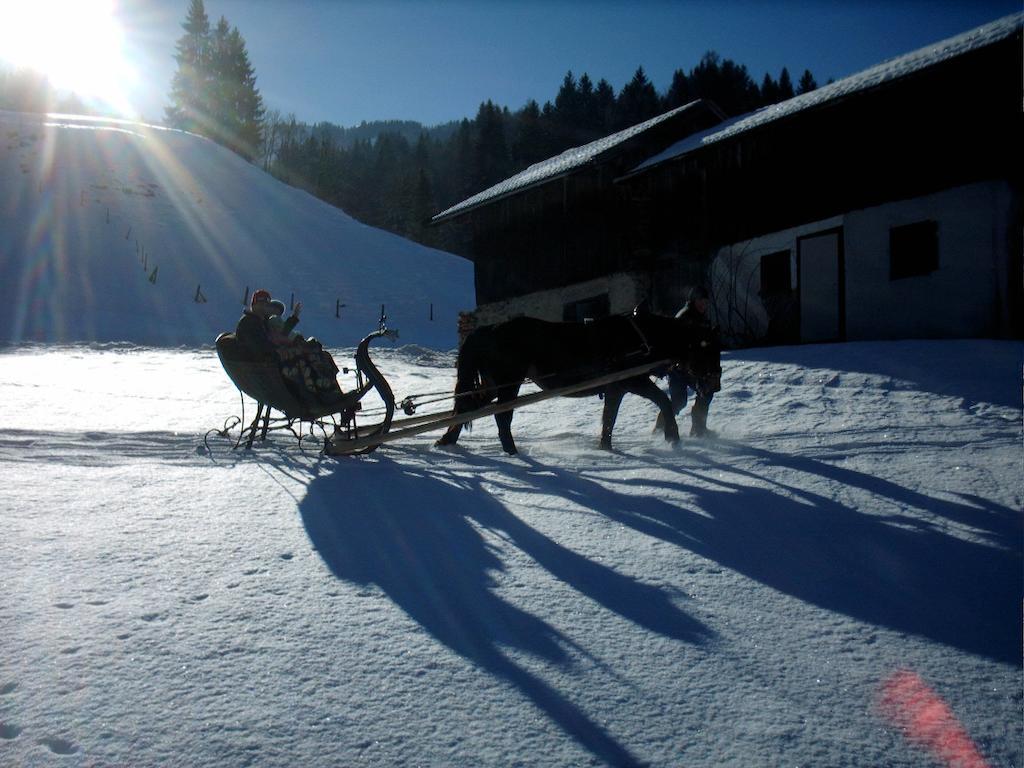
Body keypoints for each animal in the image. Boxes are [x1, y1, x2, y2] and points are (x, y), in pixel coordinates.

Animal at [436, 313, 724, 456]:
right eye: (708, 349)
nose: (715, 386)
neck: (640, 339)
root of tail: (488, 329)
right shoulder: (633, 381)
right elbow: (662, 400)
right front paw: (672, 438)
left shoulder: (616, 388)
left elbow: (609, 418)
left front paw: (606, 448)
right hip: (508, 383)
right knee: (502, 416)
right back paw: (512, 451)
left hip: (493, 385)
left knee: (466, 408)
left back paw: (447, 441)